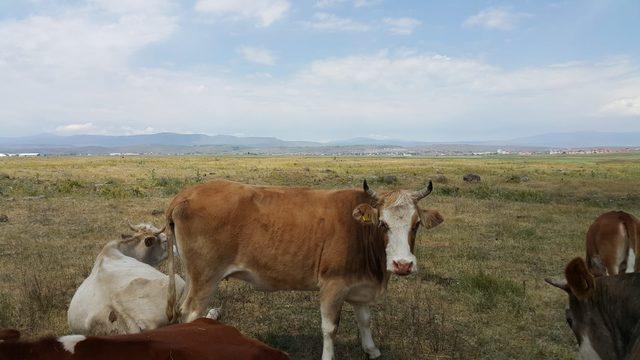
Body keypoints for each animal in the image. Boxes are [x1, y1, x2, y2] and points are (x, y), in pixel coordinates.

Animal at [165, 179, 444, 358]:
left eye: (416, 224)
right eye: (383, 224)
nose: (403, 264)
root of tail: (185, 194)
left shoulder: (358, 285)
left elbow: (365, 320)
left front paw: (371, 350)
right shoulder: (333, 285)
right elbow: (330, 328)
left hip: (193, 276)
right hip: (206, 278)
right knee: (190, 313)